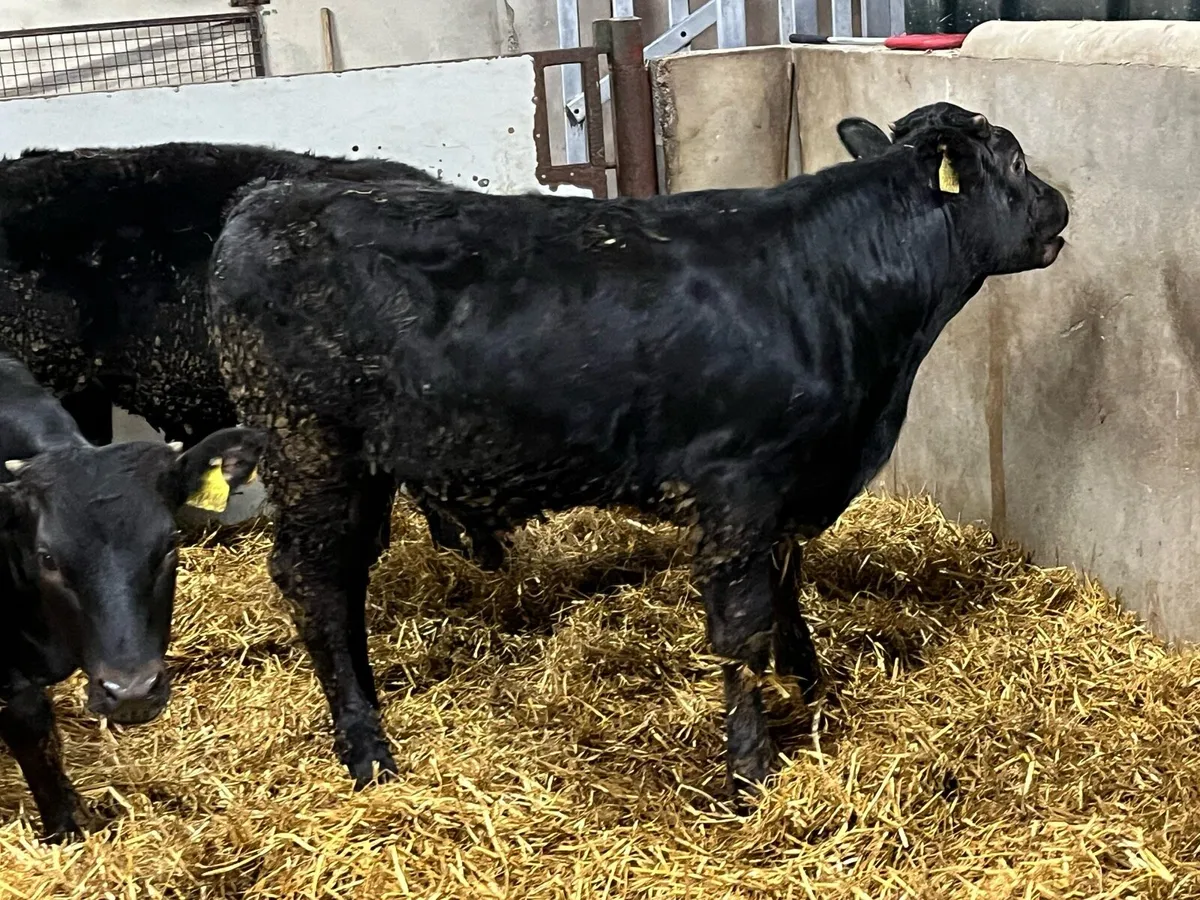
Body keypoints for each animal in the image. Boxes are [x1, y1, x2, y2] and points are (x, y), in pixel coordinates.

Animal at [205, 102, 1068, 793]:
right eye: (1016, 157)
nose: (1062, 204)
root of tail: (269, 197)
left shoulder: (787, 495)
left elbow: (788, 600)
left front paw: (817, 695)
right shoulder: (737, 492)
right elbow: (743, 628)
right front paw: (751, 772)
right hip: (310, 449)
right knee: (317, 584)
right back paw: (368, 750)